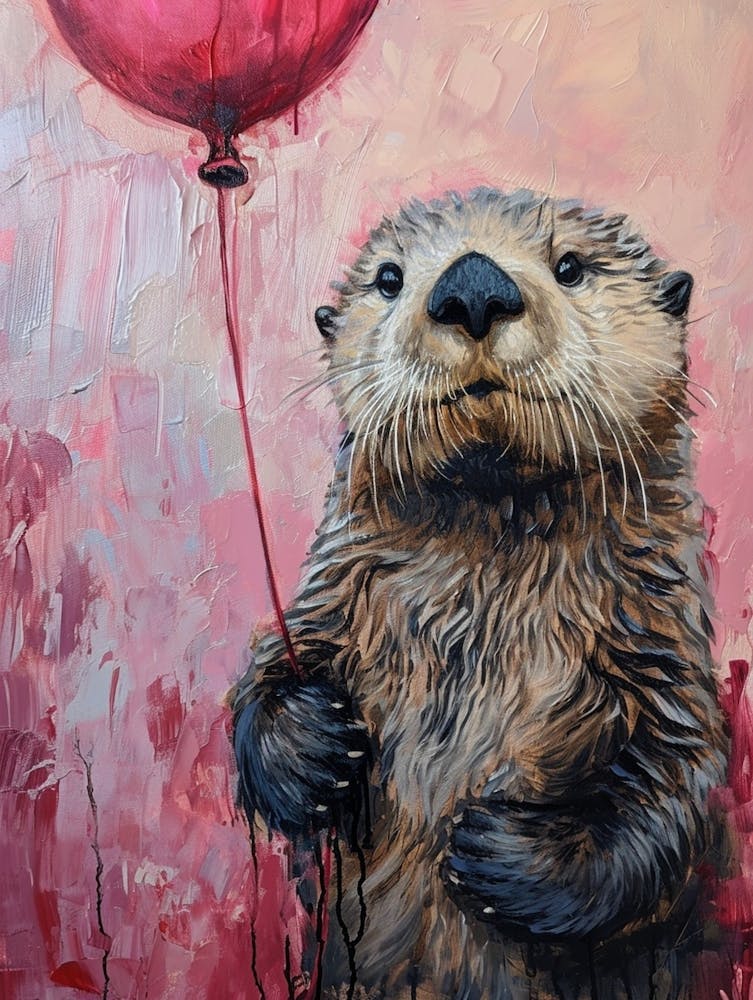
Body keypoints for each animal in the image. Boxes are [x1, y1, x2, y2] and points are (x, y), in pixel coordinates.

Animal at [230, 188, 728, 999]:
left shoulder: (659, 652)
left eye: (570, 266)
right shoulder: (332, 602)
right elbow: (268, 673)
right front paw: (312, 744)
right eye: (390, 278)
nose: (471, 288)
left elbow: (674, 792)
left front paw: (494, 850)